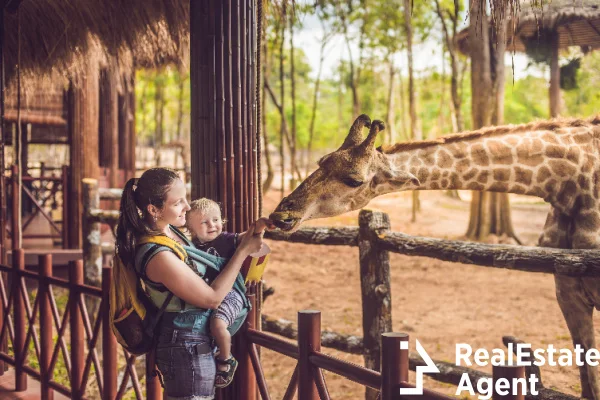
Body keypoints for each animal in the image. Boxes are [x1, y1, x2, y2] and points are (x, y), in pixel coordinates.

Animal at [270, 113, 600, 400]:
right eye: (321, 162)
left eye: (354, 180)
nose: (280, 215)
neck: (568, 184)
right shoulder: (566, 291)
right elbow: (588, 381)